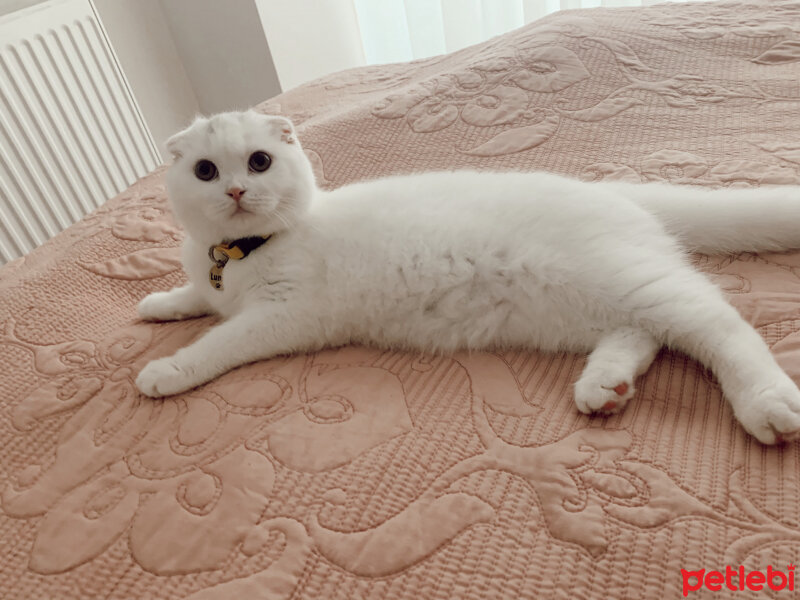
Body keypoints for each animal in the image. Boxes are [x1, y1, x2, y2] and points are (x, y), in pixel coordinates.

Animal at [134, 110, 800, 442]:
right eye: (205, 171)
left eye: (259, 161)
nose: (236, 190)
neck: (239, 254)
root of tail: (619, 194)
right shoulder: (214, 285)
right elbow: (195, 299)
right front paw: (157, 304)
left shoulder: (281, 315)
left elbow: (217, 342)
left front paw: (165, 369)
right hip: (582, 308)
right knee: (643, 336)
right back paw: (605, 389)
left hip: (627, 282)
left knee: (721, 324)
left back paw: (767, 405)